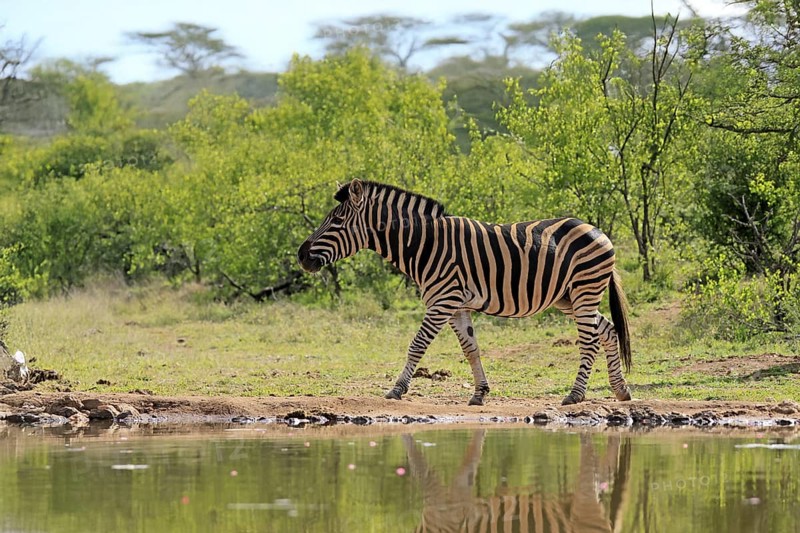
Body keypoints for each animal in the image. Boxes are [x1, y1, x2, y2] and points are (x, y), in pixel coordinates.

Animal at [297, 179, 632, 405]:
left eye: (337, 220)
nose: (301, 256)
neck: (425, 244)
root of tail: (597, 229)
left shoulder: (442, 301)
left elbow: (417, 345)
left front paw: (397, 389)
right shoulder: (456, 306)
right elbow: (471, 349)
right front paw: (480, 393)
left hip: (584, 290)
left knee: (589, 340)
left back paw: (575, 395)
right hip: (569, 297)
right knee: (607, 330)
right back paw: (620, 390)